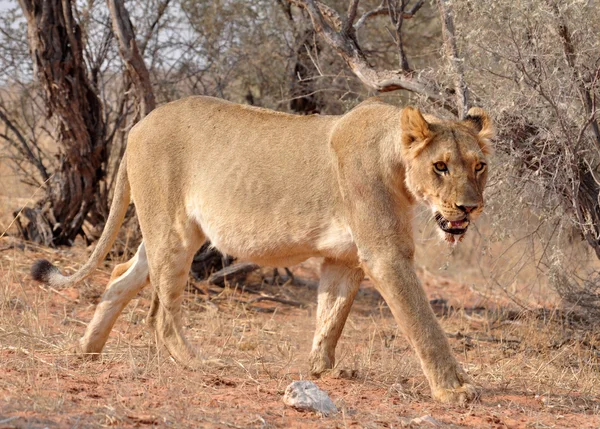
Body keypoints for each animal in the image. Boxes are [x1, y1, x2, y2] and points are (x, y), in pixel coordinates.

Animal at [30, 95, 492, 402]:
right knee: (159, 314)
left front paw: (322, 369)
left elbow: (331, 315)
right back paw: (196, 362)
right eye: (440, 166)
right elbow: (423, 323)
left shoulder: (343, 258)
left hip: (167, 232)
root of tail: (136, 127)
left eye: (479, 166)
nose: (469, 208)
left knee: (118, 276)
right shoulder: (385, 255)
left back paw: (87, 350)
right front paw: (455, 388)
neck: (393, 158)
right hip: (173, 234)